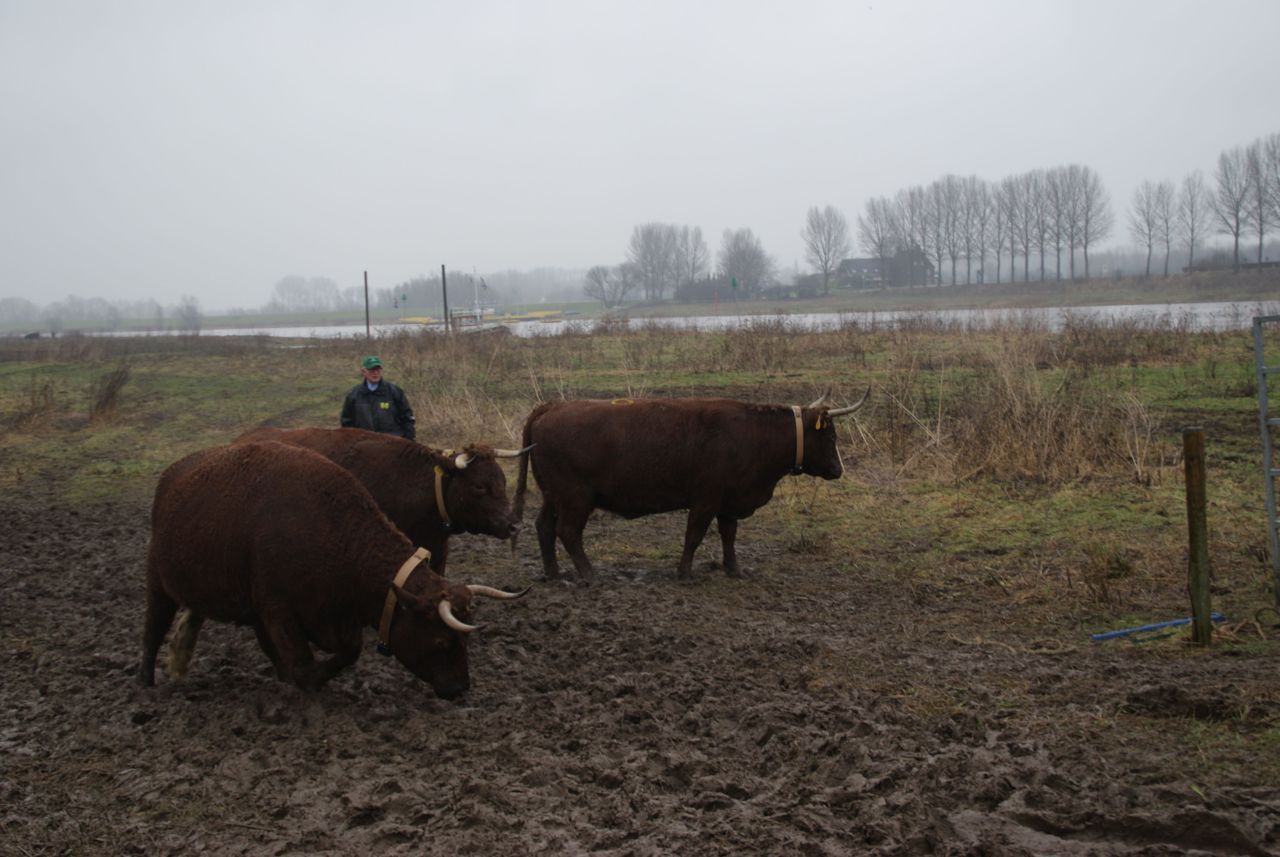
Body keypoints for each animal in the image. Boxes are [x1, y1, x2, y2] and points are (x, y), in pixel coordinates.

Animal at [138, 442, 519, 695]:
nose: (461, 687)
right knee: (153, 629)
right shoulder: (278, 610)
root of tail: (173, 475)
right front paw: (306, 684)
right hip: (159, 583)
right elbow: (304, 665)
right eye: (442, 641)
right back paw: (146, 682)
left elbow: (349, 649)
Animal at [512, 391, 870, 583]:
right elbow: (694, 535)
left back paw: (554, 573)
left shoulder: (728, 503)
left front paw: (733, 569)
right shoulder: (705, 500)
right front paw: (684, 572)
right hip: (575, 498)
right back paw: (589, 574)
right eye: (830, 436)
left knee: (544, 527)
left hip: (553, 496)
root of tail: (552, 407)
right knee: (568, 532)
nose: (838, 470)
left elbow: (729, 536)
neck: (753, 434)